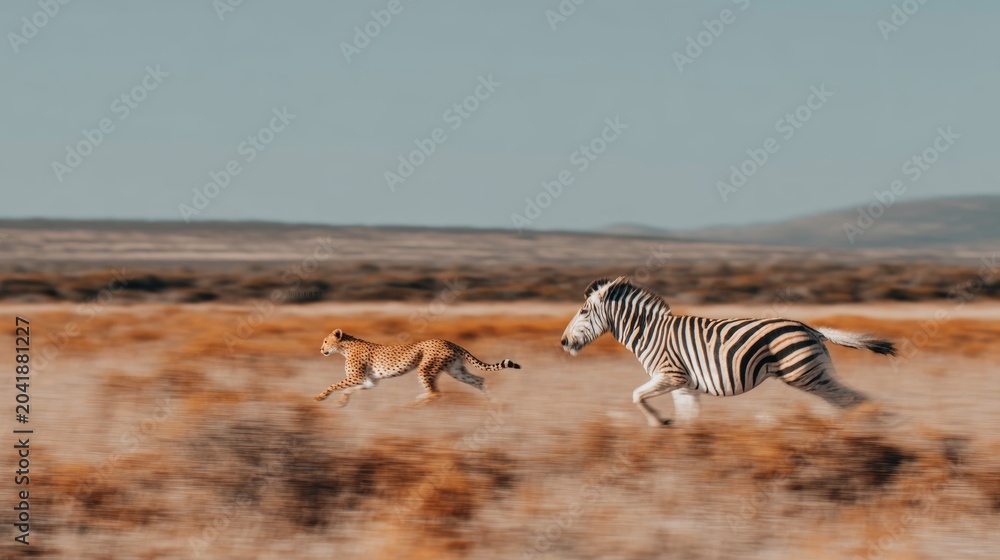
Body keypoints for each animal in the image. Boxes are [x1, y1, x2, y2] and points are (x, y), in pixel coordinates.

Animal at [314, 328, 521, 407]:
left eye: (325, 341)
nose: (321, 349)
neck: (345, 347)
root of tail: (449, 341)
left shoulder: (356, 377)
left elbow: (333, 385)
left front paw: (320, 397)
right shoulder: (369, 381)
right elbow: (349, 389)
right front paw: (342, 401)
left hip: (425, 368)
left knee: (435, 393)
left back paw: (413, 405)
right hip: (456, 371)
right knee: (479, 380)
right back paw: (492, 403)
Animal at [560, 277, 896, 427]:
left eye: (584, 311)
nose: (563, 342)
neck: (650, 333)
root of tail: (811, 328)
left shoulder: (671, 376)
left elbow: (636, 395)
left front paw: (660, 423)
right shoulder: (684, 386)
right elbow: (689, 419)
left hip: (806, 375)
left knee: (851, 399)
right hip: (815, 374)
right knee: (847, 400)